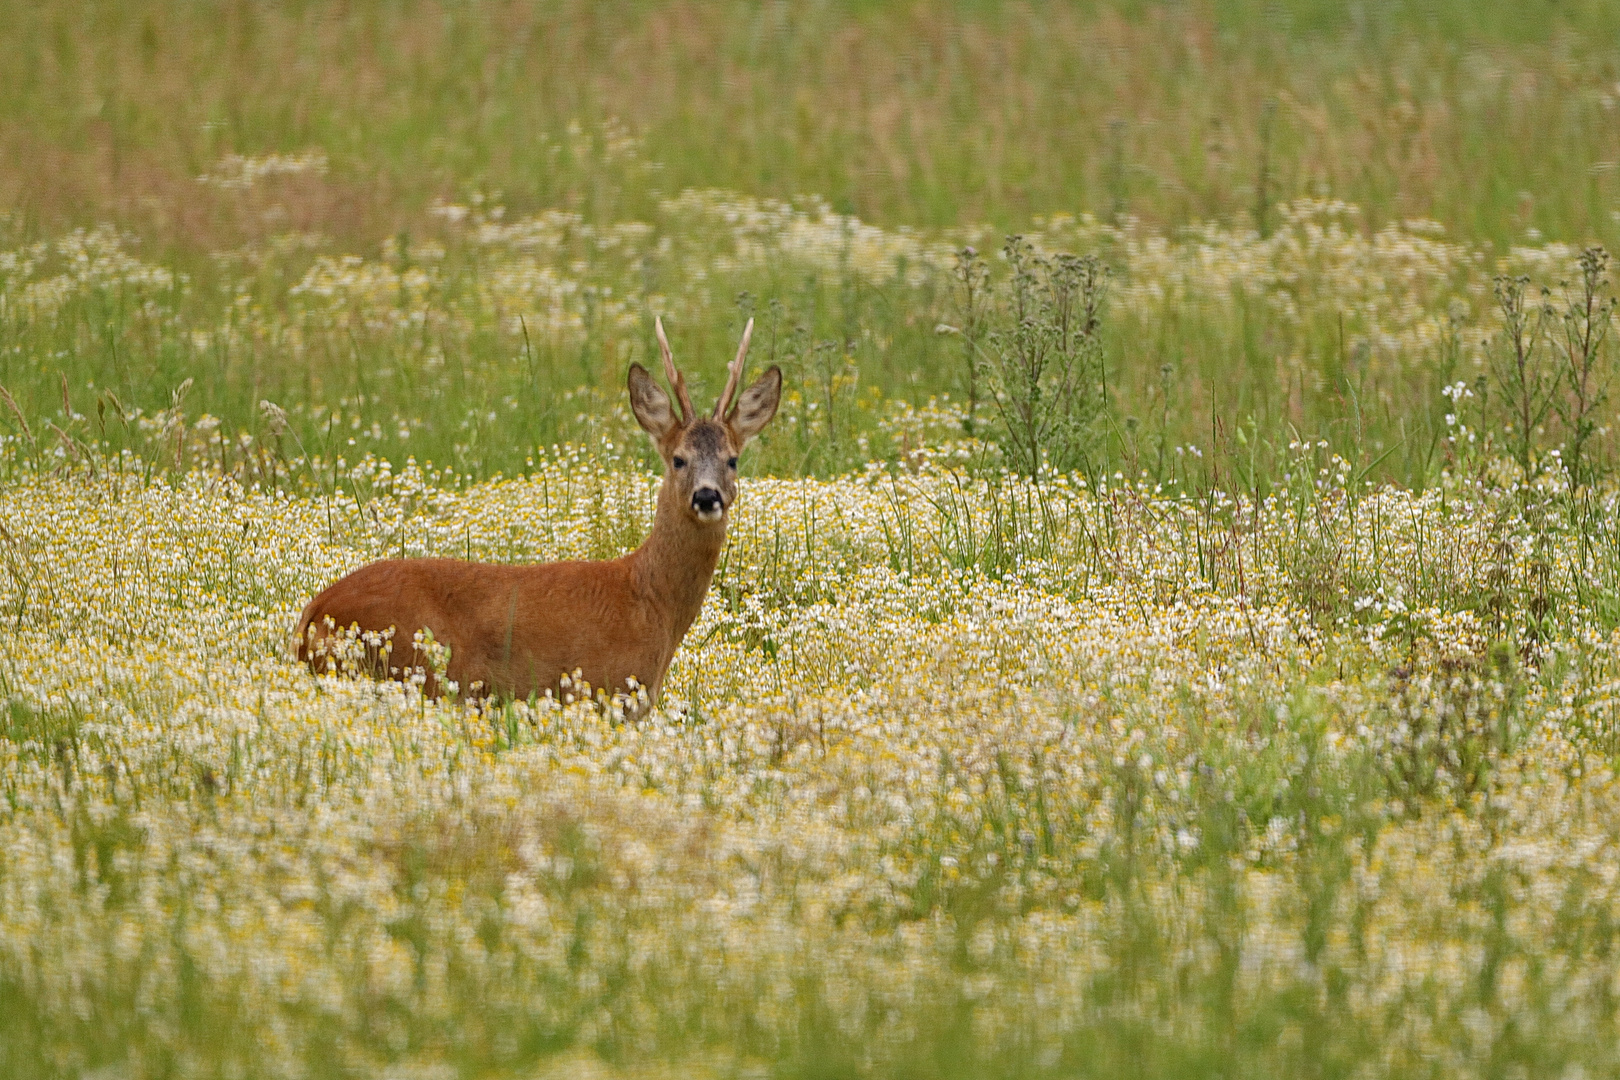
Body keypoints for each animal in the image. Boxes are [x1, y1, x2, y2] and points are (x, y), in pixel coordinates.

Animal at [302, 317, 784, 712]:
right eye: (679, 459)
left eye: (732, 459)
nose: (707, 497)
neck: (648, 599)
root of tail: (312, 615)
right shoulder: (604, 688)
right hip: (411, 665)